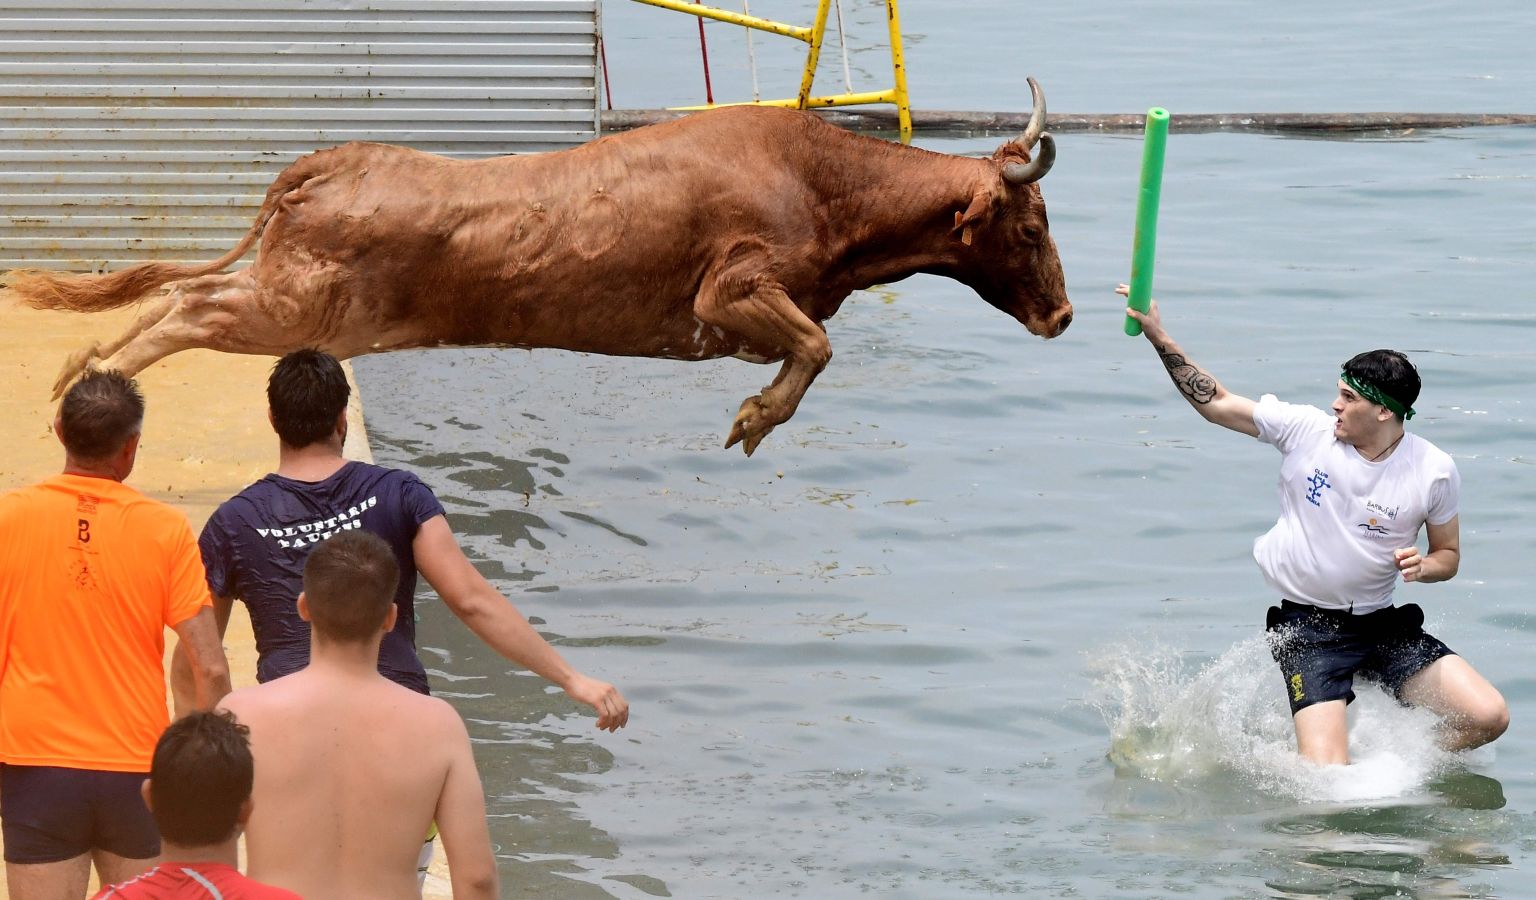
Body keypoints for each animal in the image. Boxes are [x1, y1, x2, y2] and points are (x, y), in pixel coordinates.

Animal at [9, 77, 1069, 454]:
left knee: (180, 291)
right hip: (292, 305)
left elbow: (810, 350)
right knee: (189, 303)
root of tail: (330, 160)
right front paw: (754, 420)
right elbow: (813, 349)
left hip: (290, 297)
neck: (824, 180)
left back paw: (79, 372)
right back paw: (85, 383)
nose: (1061, 317)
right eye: (1030, 225)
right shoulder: (729, 290)